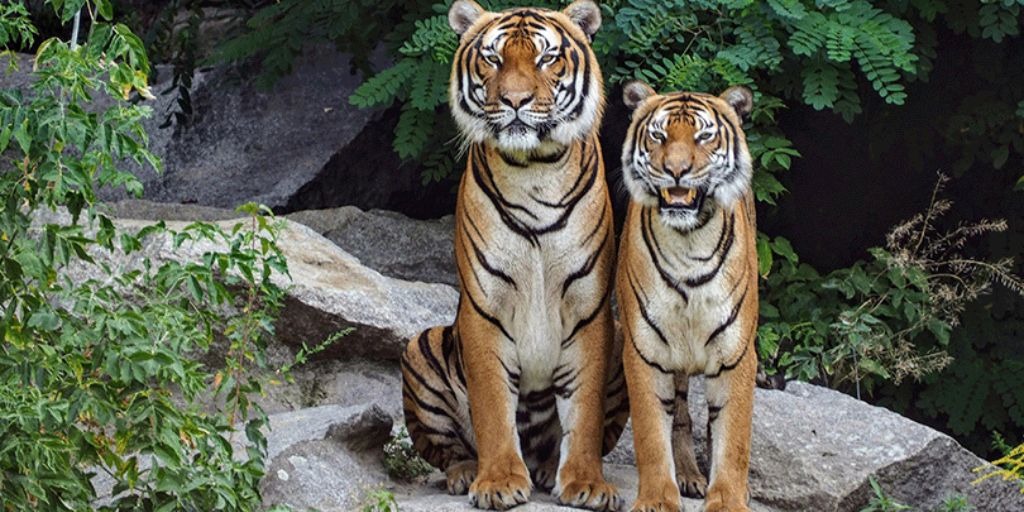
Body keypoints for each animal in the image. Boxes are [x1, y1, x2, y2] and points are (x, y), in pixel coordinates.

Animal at [399, 1, 628, 510]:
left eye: (546, 59)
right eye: (493, 58)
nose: (516, 101)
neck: (534, 169)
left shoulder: (589, 310)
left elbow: (583, 412)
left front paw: (586, 483)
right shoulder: (485, 308)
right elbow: (491, 407)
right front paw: (499, 481)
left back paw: (546, 468)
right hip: (421, 345)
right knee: (446, 449)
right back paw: (467, 472)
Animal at [614, 81, 759, 512]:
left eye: (703, 136)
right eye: (659, 136)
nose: (676, 170)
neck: (688, 243)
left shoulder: (737, 355)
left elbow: (733, 438)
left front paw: (728, 500)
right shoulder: (644, 351)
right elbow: (650, 434)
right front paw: (658, 499)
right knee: (679, 416)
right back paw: (689, 477)